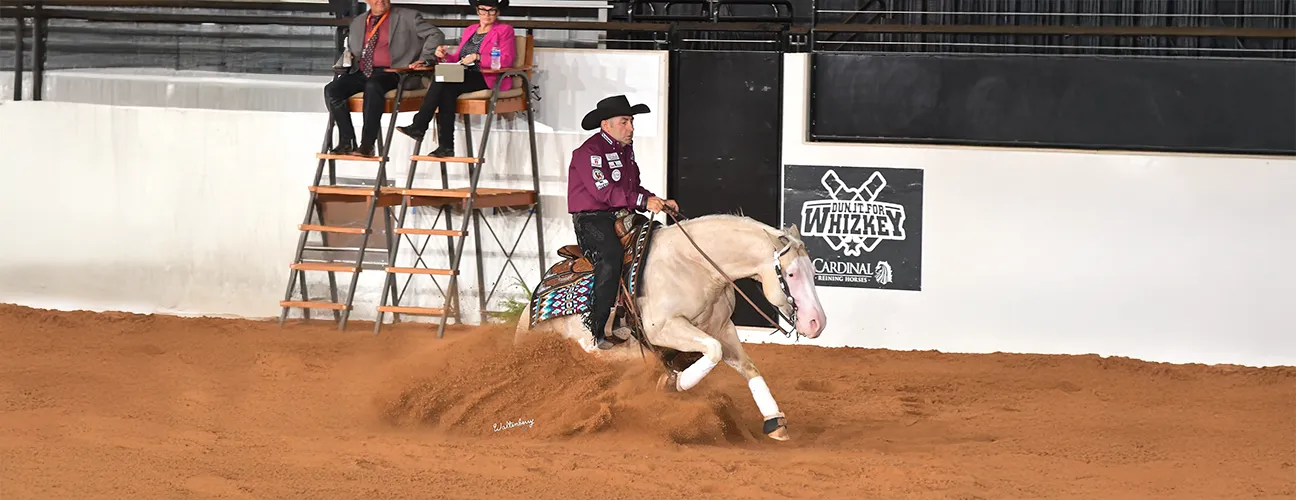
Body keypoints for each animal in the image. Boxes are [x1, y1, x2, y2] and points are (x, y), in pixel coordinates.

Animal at [514, 213, 828, 441]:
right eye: (791, 273)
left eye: (813, 270)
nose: (817, 322)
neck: (694, 266)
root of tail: (527, 317)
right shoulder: (664, 329)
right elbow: (712, 352)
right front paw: (672, 383)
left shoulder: (721, 327)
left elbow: (748, 366)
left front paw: (774, 421)